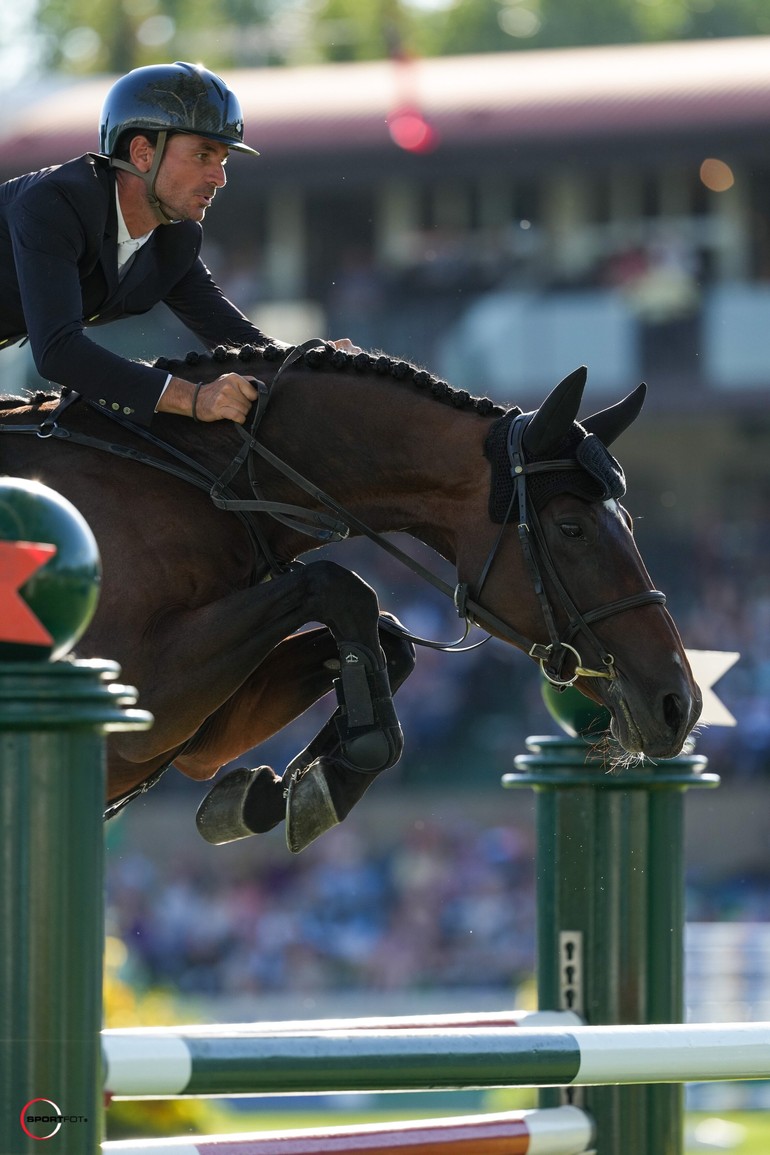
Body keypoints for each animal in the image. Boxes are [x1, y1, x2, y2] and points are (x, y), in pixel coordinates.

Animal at [0, 337, 701, 854]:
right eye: (571, 528)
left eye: (628, 520)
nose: (680, 706)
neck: (199, 484)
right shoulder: (138, 694)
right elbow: (341, 586)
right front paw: (346, 761)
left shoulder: (194, 735)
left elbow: (381, 637)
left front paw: (290, 788)